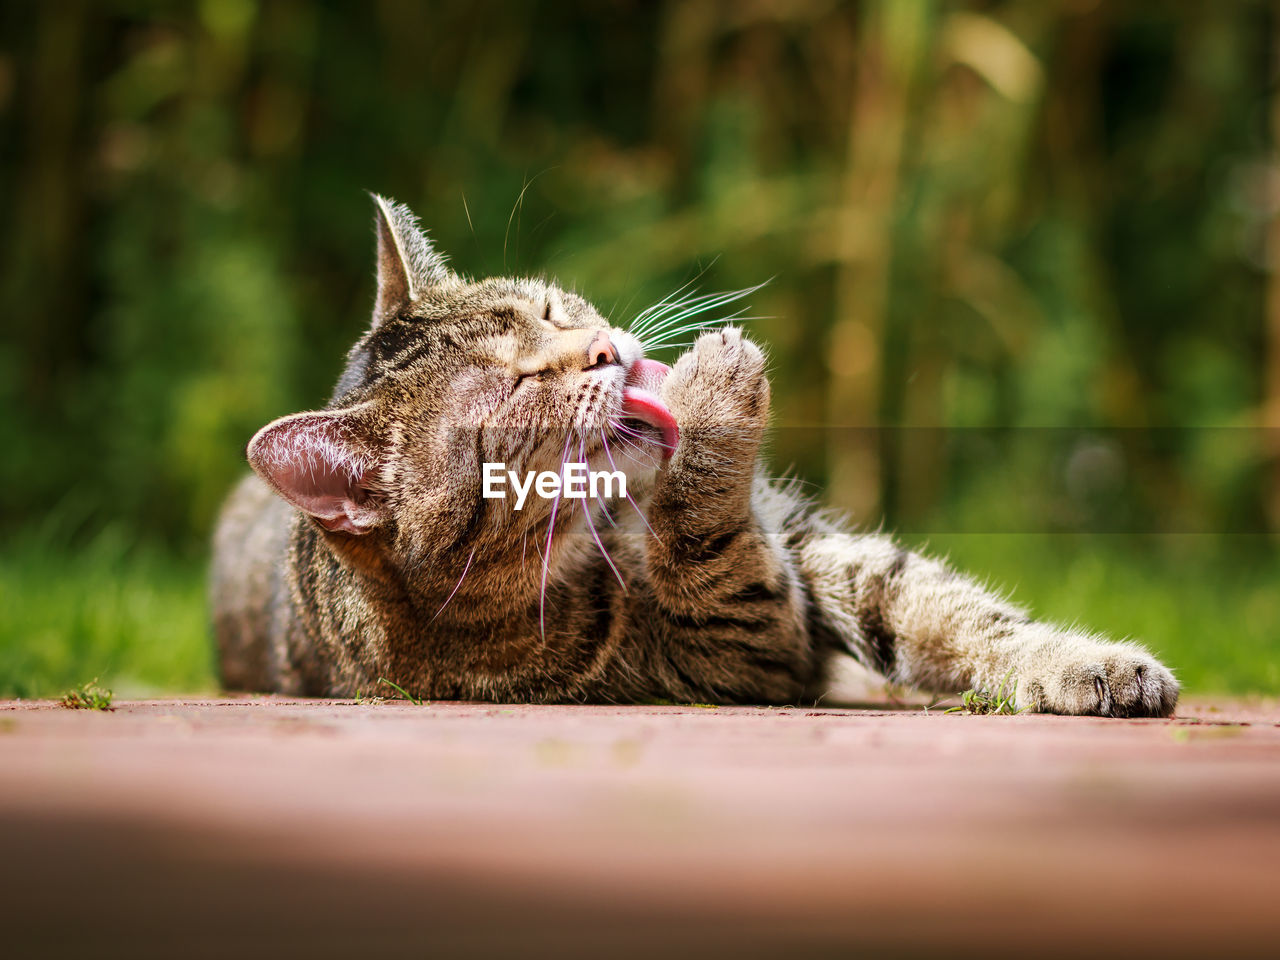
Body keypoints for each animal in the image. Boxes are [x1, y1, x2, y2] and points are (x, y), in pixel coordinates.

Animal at [209, 195, 1177, 716]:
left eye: (554, 310)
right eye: (515, 393)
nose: (607, 350)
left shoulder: (810, 546)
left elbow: (949, 612)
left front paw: (1082, 666)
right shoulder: (740, 646)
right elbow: (713, 550)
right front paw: (715, 399)